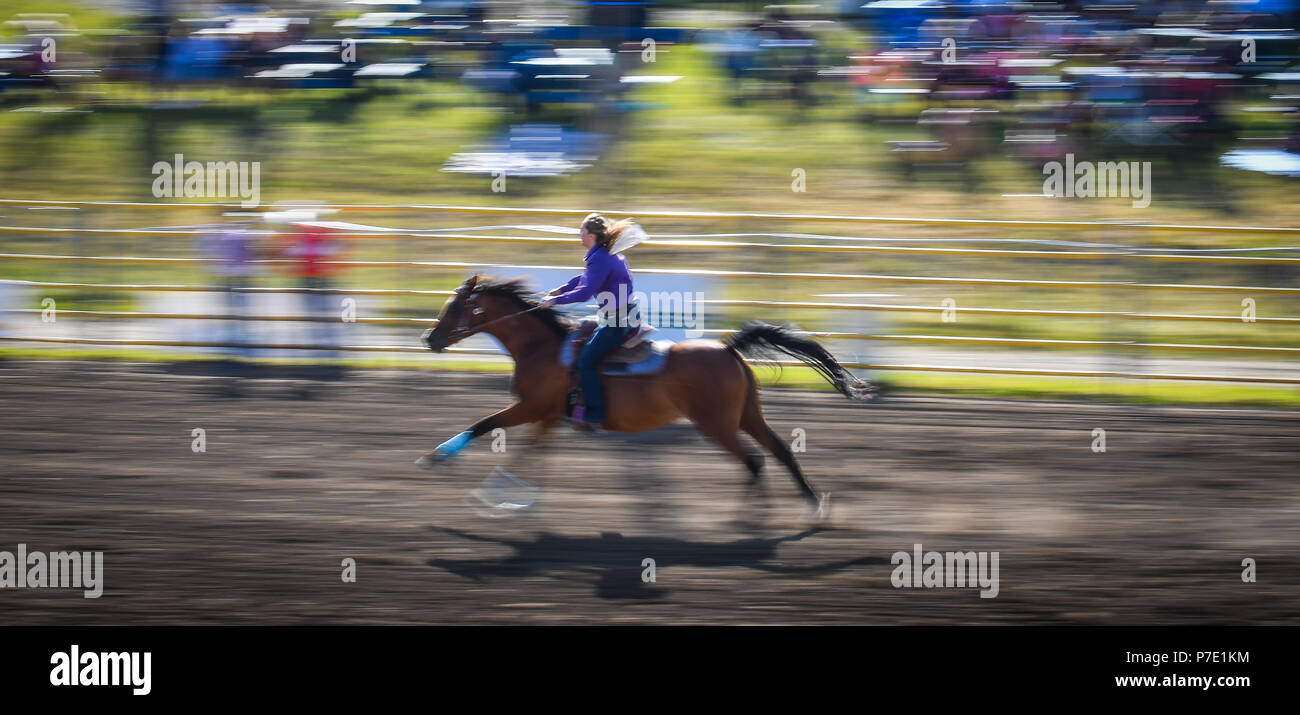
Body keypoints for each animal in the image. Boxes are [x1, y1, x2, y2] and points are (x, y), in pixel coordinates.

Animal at [421, 274, 878, 514]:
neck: (542, 347)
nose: (429, 339)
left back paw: (746, 520)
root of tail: (727, 349)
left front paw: (437, 456)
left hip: (717, 425)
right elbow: (532, 454)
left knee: (753, 461)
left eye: (454, 308)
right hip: (748, 414)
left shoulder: (529, 407)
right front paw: (511, 497)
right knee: (780, 451)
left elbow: (483, 424)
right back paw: (811, 503)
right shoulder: (547, 416)